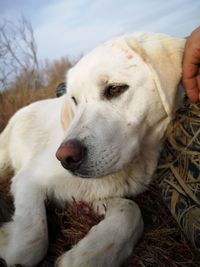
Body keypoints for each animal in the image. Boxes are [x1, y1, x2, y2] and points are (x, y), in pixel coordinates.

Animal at [0, 33, 185, 267]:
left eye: (115, 89)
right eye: (74, 100)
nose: (65, 158)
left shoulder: (93, 195)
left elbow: (131, 211)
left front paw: (87, 255)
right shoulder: (28, 180)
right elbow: (28, 246)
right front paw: (5, 237)